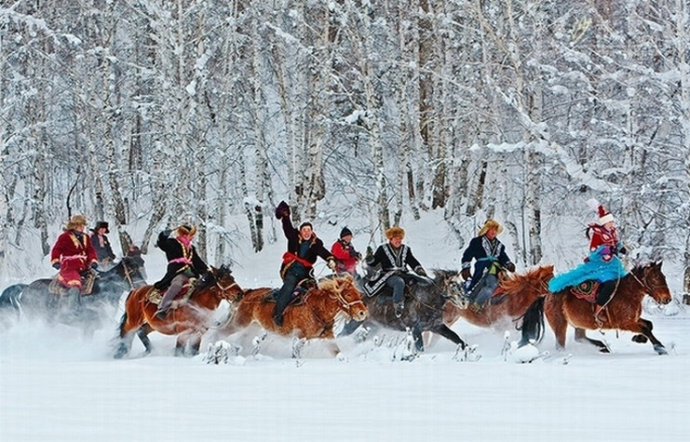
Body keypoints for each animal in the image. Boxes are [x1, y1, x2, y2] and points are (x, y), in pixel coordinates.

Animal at [117, 264, 246, 358]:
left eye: (232, 278)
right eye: (223, 280)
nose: (240, 294)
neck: (197, 304)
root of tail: (134, 291)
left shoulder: (197, 334)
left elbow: (193, 351)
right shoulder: (183, 333)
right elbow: (179, 351)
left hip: (152, 325)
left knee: (141, 332)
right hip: (133, 321)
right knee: (125, 333)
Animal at [216, 274, 368, 354]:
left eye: (357, 293)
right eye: (348, 294)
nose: (362, 312)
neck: (317, 309)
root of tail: (247, 293)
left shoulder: (328, 337)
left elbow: (336, 351)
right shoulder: (300, 337)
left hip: (253, 327)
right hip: (239, 323)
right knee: (219, 333)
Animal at [340, 270, 468, 352]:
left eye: (462, 283)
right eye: (453, 284)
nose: (464, 302)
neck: (425, 300)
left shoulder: (437, 327)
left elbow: (456, 338)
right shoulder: (415, 329)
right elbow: (420, 348)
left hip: (372, 327)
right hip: (355, 323)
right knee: (342, 334)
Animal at [524, 260, 668, 354]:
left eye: (664, 277)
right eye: (655, 279)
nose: (667, 299)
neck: (628, 293)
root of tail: (547, 296)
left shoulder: (634, 320)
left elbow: (649, 325)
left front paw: (639, 339)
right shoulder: (625, 323)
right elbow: (645, 329)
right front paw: (660, 347)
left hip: (579, 323)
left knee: (579, 338)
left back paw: (603, 347)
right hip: (560, 324)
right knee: (561, 345)